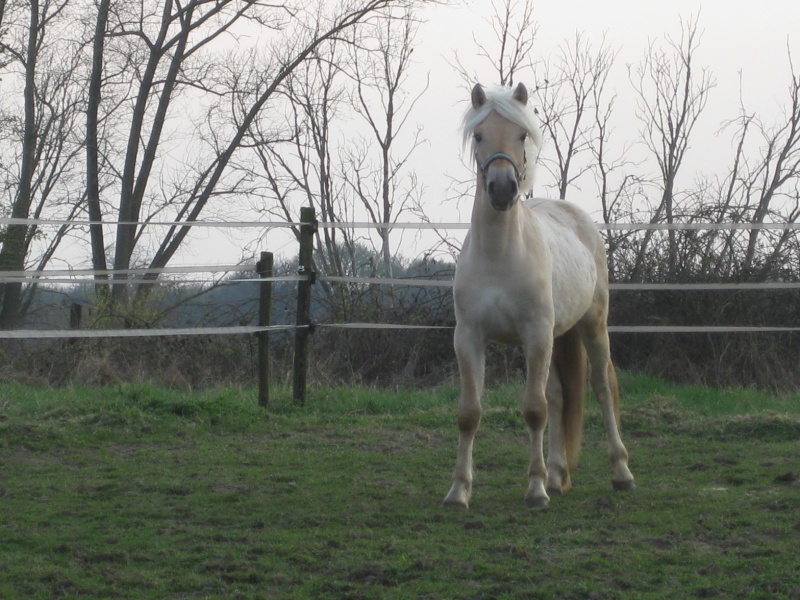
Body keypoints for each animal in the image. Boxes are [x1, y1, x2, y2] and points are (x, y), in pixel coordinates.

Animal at [440, 82, 636, 508]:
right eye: (479, 136)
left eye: (521, 134)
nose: (502, 189)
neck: (499, 253)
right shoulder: (469, 338)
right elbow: (469, 413)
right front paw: (458, 490)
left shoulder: (536, 335)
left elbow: (533, 410)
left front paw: (535, 490)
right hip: (557, 337)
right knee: (560, 397)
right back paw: (558, 474)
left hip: (590, 327)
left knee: (600, 388)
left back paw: (621, 473)